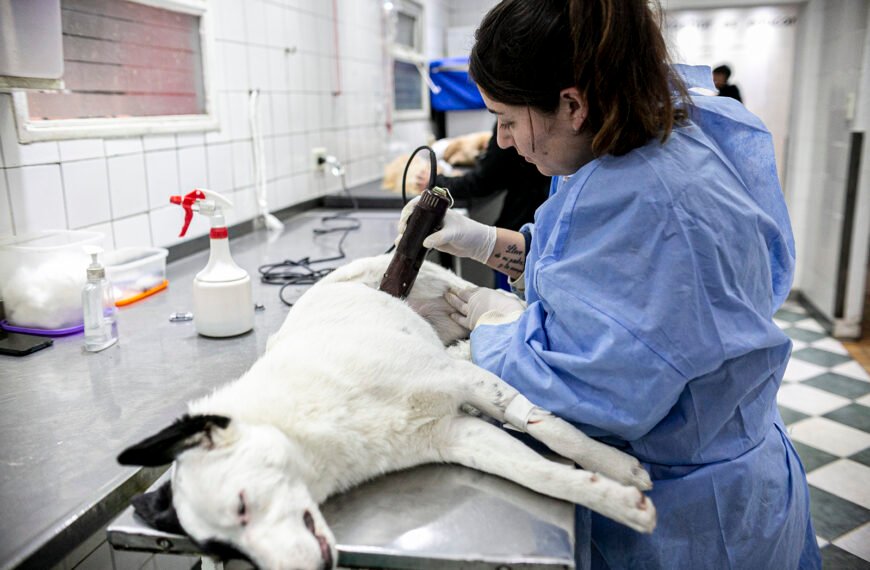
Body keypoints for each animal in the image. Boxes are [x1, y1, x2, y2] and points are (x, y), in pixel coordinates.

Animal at [119, 254, 656, 568]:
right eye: (226, 552)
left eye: (242, 506)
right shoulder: (455, 436)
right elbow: (541, 475)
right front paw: (615, 499)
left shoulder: (458, 381)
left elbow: (554, 433)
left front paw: (617, 468)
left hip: (461, 301)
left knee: (508, 320)